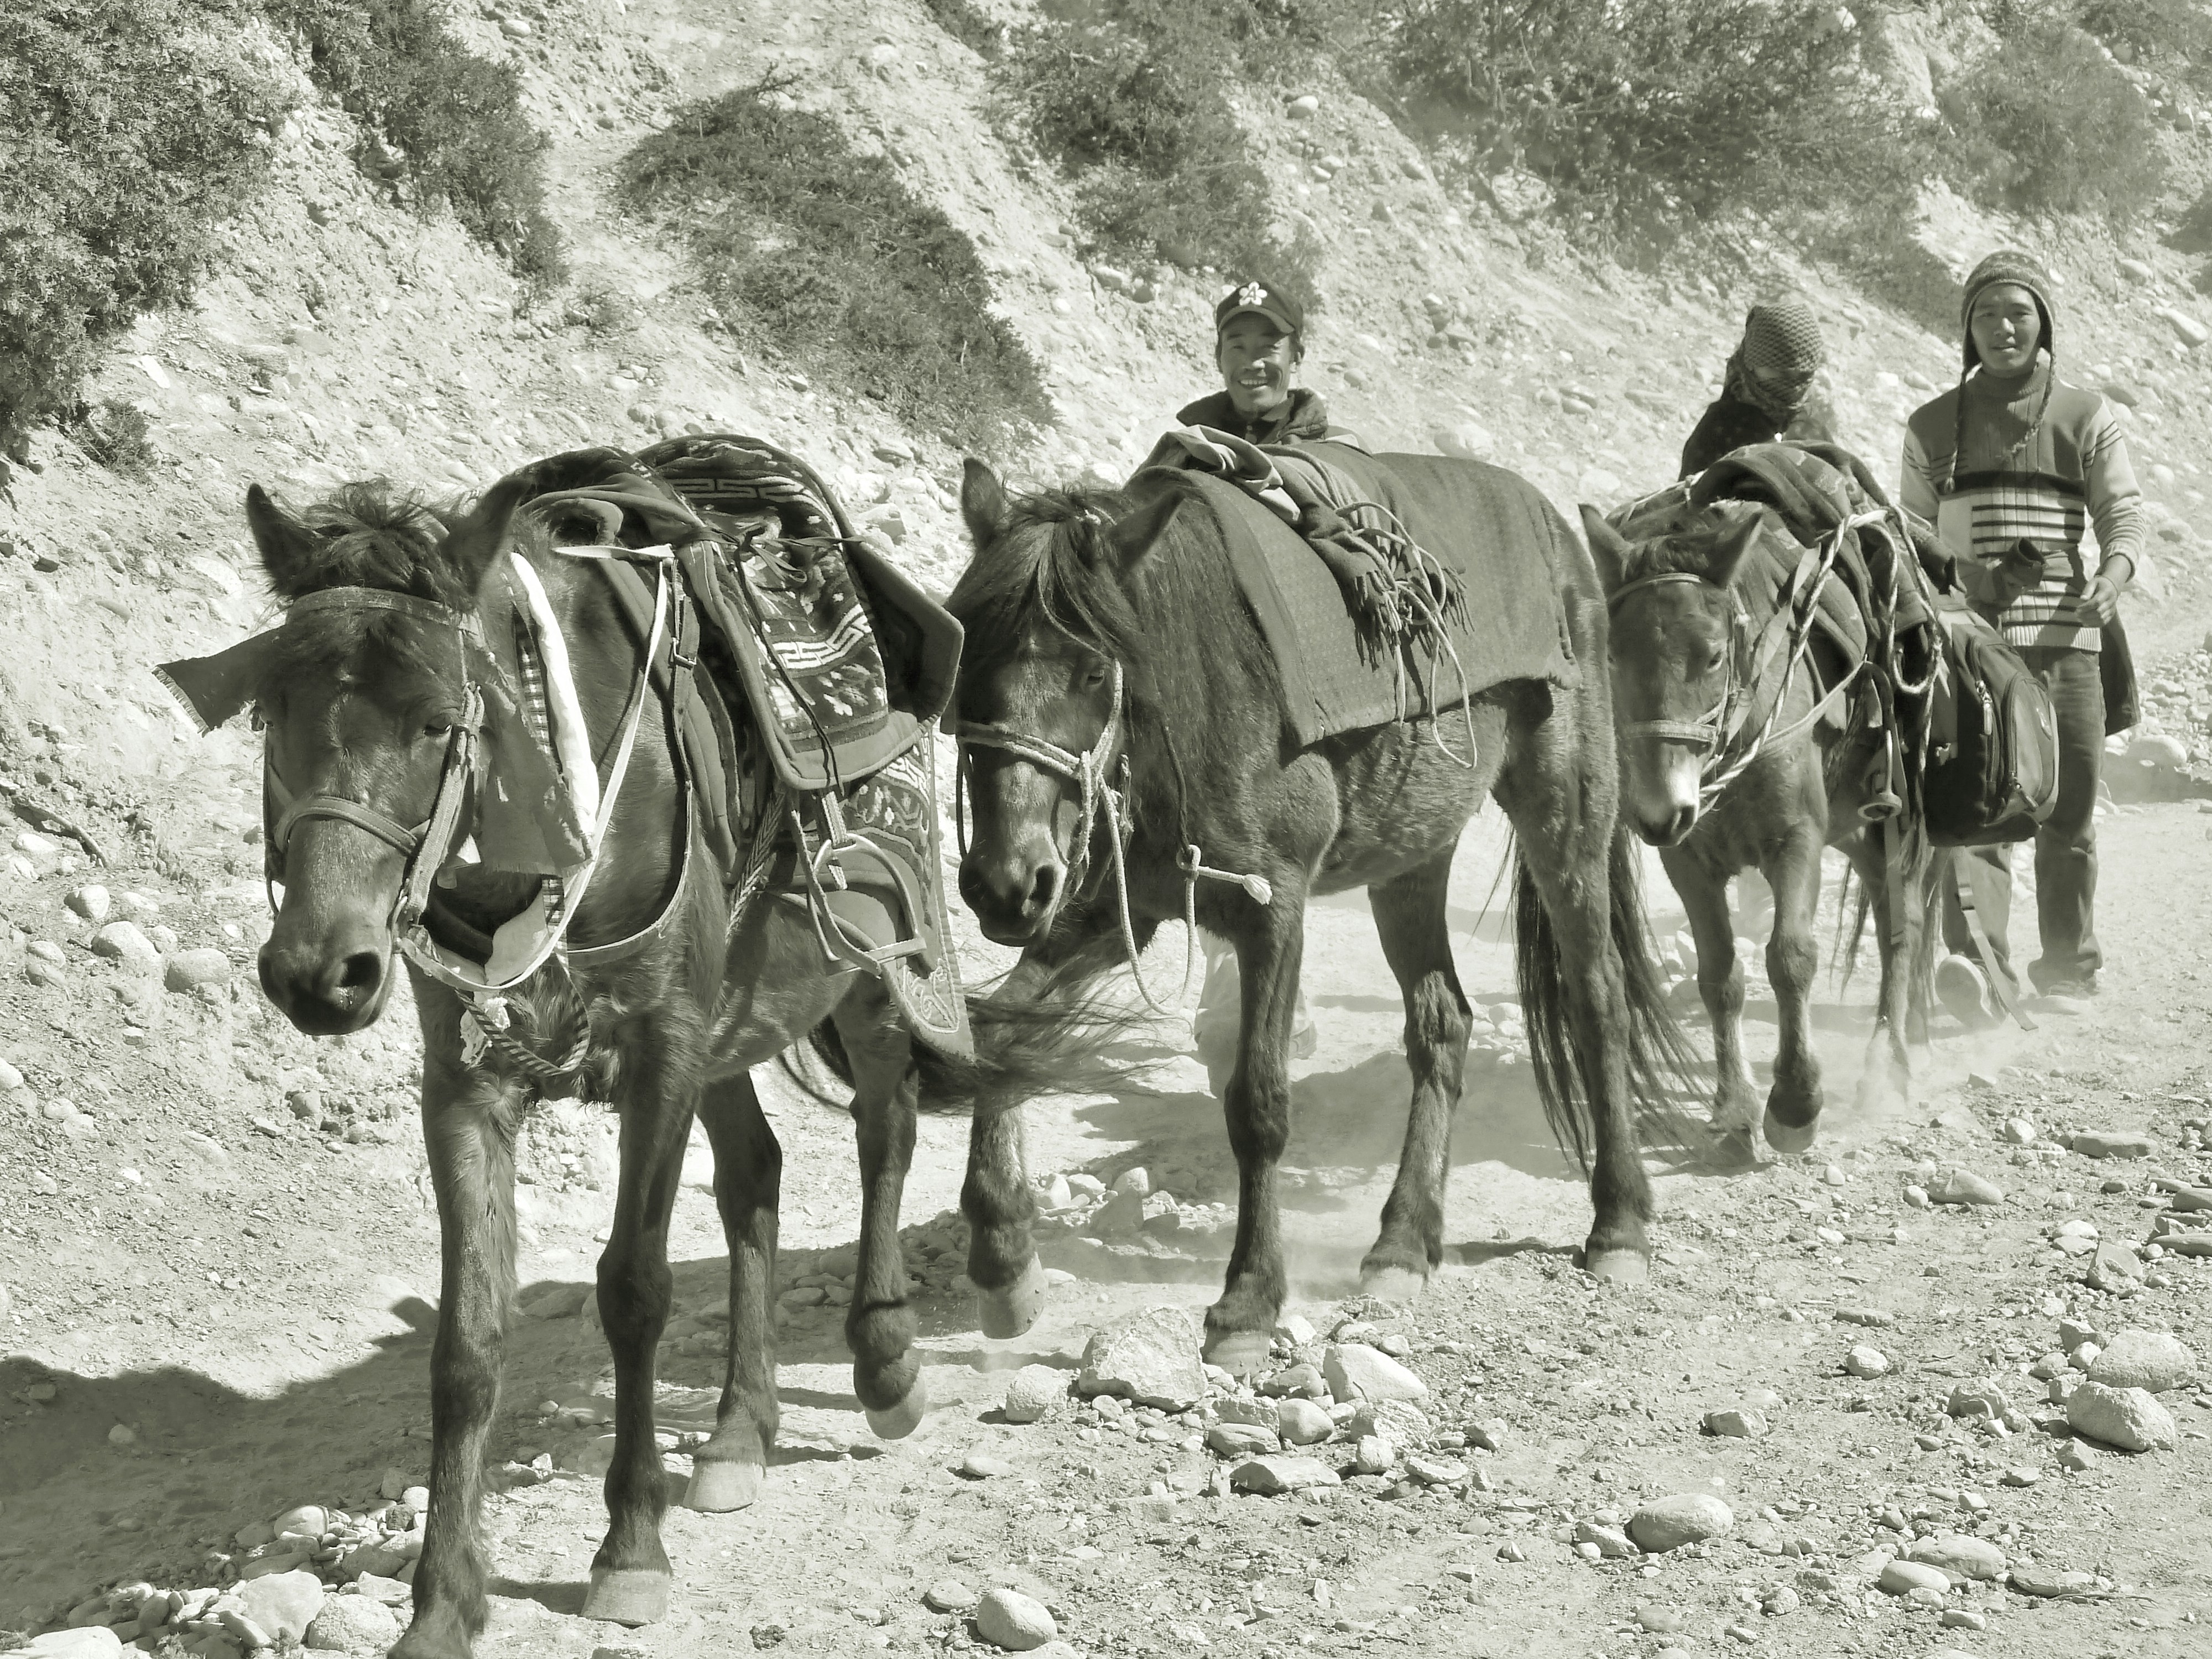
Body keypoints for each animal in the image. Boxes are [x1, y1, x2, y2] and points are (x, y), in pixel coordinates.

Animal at [197, 475, 1093, 1659]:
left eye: (439, 721)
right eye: (271, 715)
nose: (318, 973)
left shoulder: (662, 1050)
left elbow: (635, 1289)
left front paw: (629, 1548)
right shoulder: (467, 1080)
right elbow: (467, 1341)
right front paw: (443, 1602)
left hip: (865, 966)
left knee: (886, 1128)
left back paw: (886, 1359)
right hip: (730, 1024)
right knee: (756, 1176)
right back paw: (739, 1432)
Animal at [944, 456, 1695, 1375]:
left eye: (1093, 671)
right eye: (970, 654)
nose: (1004, 883)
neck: (1191, 699)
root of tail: (1562, 534)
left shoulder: (1272, 913)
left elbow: (1259, 1103)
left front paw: (1246, 1302)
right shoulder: (1100, 914)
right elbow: (999, 1042)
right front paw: (1004, 1261)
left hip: (1566, 818)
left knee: (1596, 1001)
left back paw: (1618, 1223)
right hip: (1410, 859)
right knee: (1442, 1024)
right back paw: (1404, 1243)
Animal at [1579, 494, 1938, 1159]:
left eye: (1714, 655)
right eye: (1611, 655)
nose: (1662, 809)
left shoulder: (1795, 842)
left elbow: (1790, 957)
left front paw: (1796, 1102)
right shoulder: (1686, 862)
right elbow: (1719, 975)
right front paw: (1735, 1106)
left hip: (1895, 829)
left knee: (1903, 929)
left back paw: (1888, 1065)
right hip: (1857, 833)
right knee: (1890, 914)